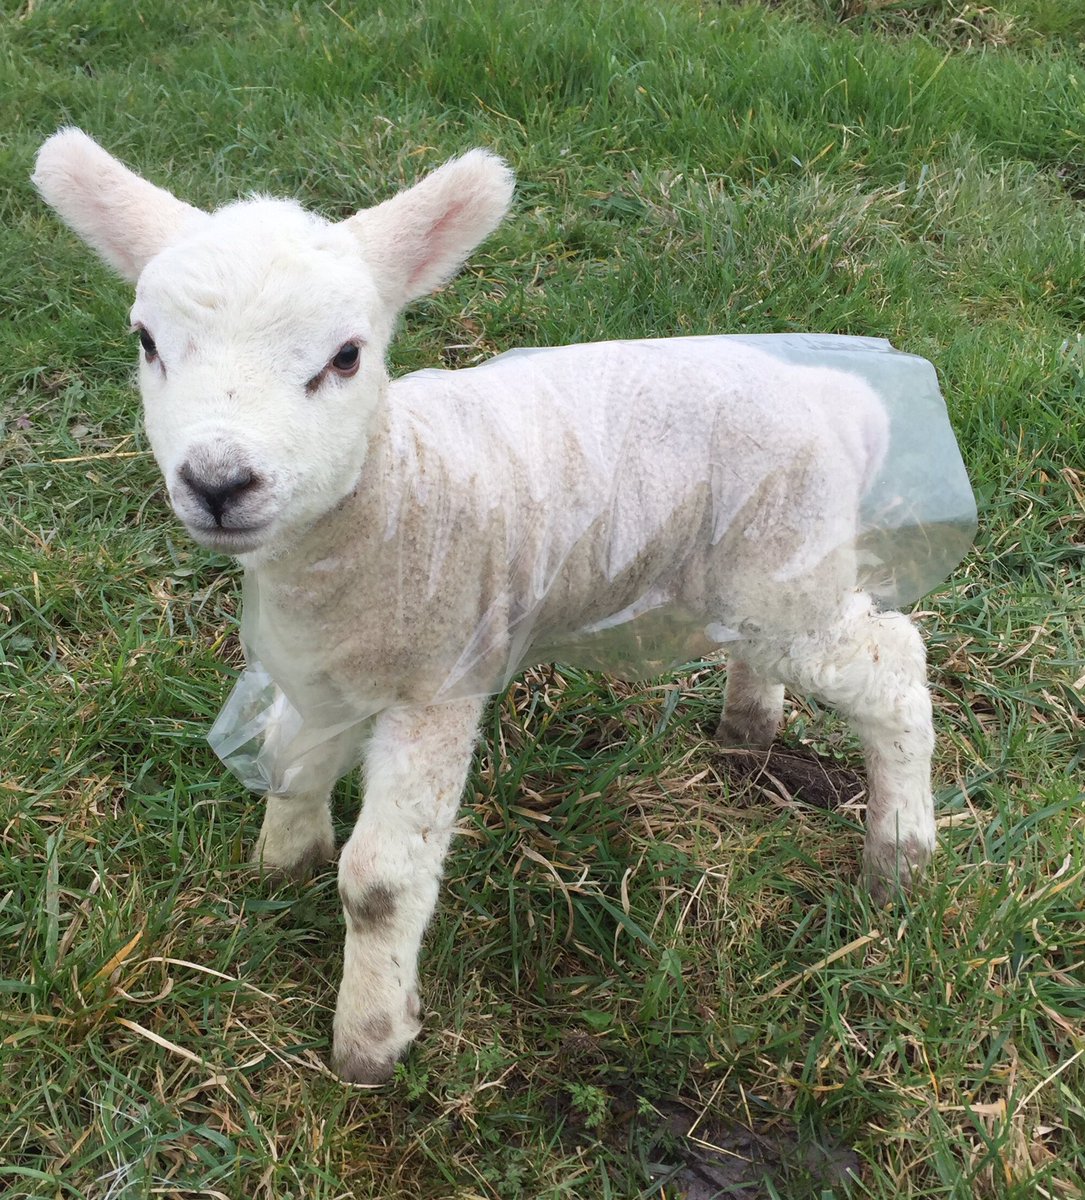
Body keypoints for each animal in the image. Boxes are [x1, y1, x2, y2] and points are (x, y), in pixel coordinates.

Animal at [33, 129, 973, 1084]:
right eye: (147, 341)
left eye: (346, 356)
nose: (219, 483)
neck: (394, 493)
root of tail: (840, 398)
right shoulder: (329, 669)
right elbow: (290, 763)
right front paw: (280, 866)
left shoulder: (438, 681)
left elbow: (380, 884)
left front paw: (368, 1044)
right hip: (759, 565)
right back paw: (748, 728)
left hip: (786, 575)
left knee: (895, 663)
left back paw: (899, 859)